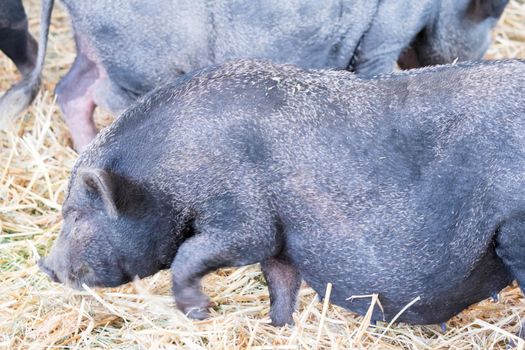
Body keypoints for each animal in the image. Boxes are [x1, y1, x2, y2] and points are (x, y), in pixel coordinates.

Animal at [0, 0, 508, 150]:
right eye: (484, 21)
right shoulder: (383, 38)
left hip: (96, 44)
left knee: (71, 88)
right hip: (138, 56)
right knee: (104, 95)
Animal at [40, 58, 524, 330]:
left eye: (76, 215)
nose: (46, 266)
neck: (172, 170)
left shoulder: (242, 217)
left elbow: (193, 254)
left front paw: (199, 313)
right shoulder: (281, 237)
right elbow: (280, 282)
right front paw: (277, 329)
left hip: (515, 232)